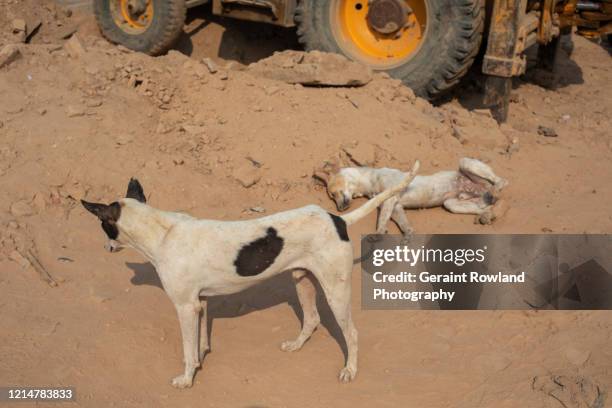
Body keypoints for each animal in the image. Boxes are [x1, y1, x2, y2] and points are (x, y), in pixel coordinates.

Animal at [316, 157, 506, 239]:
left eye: (333, 193)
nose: (340, 209)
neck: (371, 180)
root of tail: (482, 190)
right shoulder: (395, 206)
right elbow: (402, 223)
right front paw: (408, 233)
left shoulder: (390, 198)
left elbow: (382, 219)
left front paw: (379, 232)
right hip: (452, 203)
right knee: (485, 206)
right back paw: (487, 215)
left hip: (465, 163)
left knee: (501, 181)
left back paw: (496, 189)